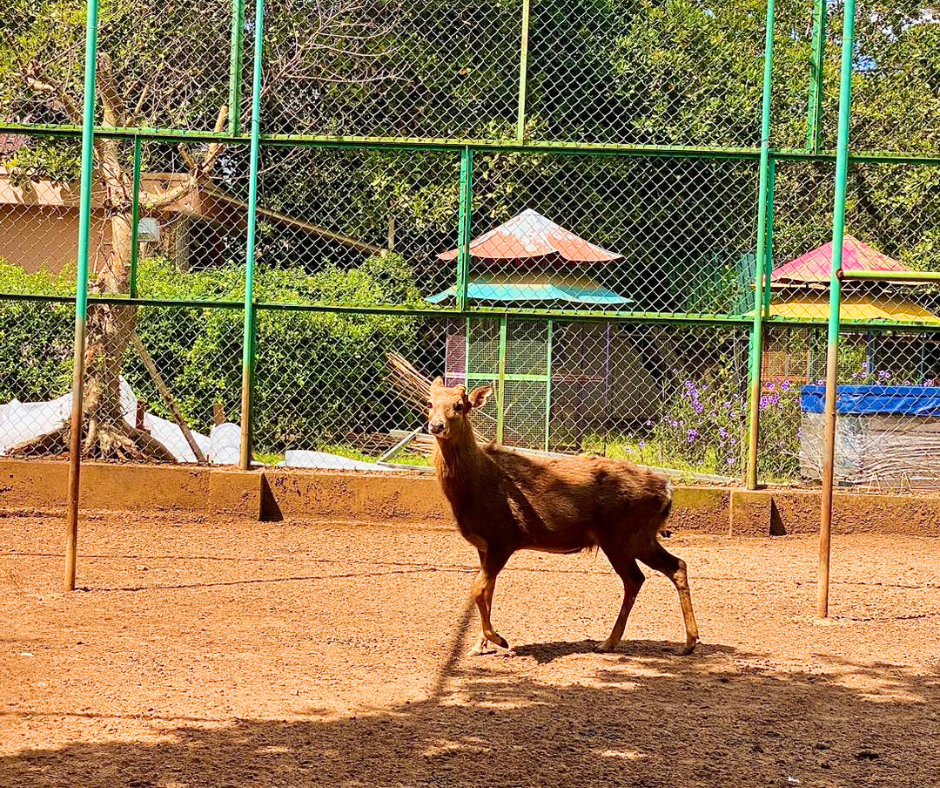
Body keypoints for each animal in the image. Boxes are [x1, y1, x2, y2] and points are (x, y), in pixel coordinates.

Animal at [426, 378, 696, 656]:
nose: (436, 426)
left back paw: (609, 642)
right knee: (676, 566)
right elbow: (488, 591)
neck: (474, 488)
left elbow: (478, 590)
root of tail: (667, 490)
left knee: (635, 579)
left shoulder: (504, 536)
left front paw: (499, 640)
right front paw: (479, 645)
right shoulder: (484, 545)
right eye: (430, 403)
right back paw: (688, 642)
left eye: (459, 406)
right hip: (641, 536)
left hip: (619, 535)